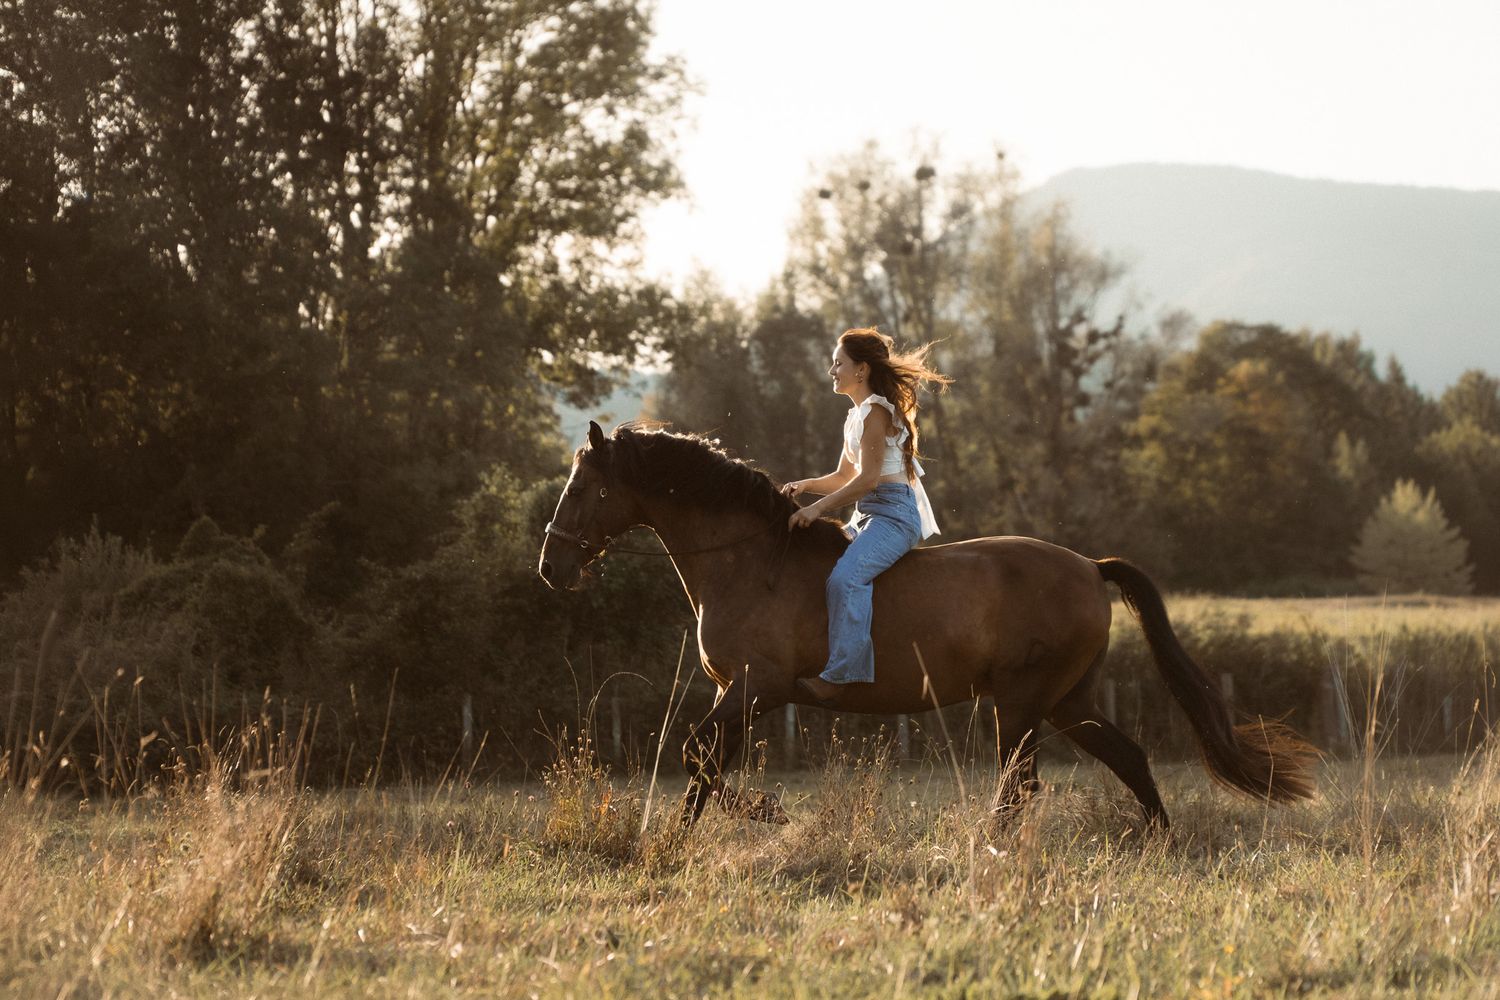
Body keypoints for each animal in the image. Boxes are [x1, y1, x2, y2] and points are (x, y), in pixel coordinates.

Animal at [537, 420, 1316, 828]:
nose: (551, 566)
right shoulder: (744, 694)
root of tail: (1090, 567)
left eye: (584, 488)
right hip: (1066, 700)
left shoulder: (757, 688)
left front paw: (757, 814)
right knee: (1125, 757)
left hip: (1023, 700)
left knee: (1021, 782)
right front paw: (707, 830)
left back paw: (994, 847)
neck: (747, 560)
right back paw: (1157, 838)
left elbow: (696, 755)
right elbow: (705, 765)